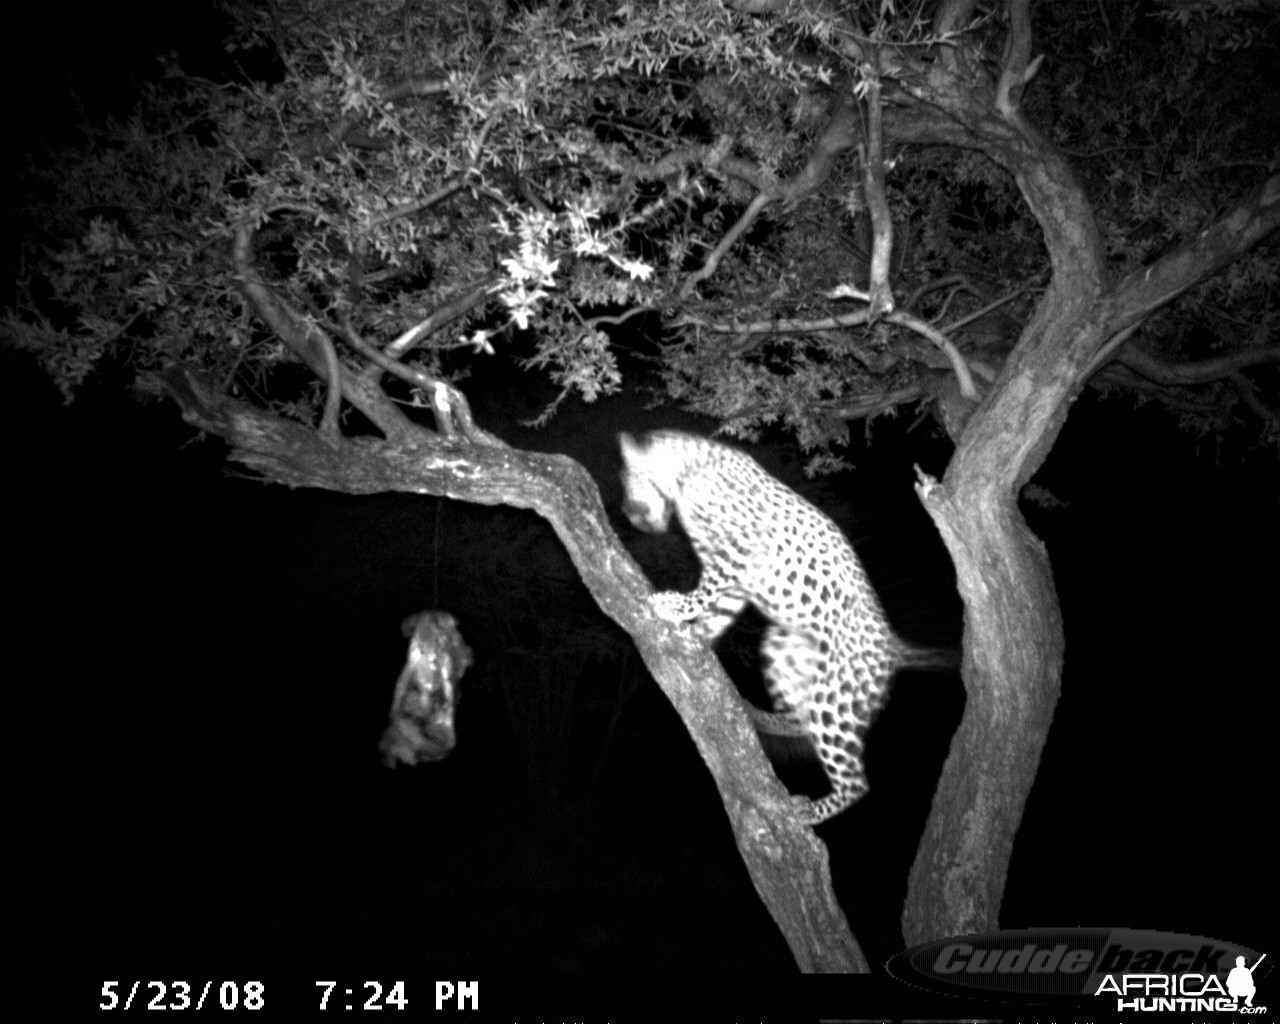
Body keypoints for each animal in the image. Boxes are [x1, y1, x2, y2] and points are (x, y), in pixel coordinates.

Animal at [619, 430, 952, 824]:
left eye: (627, 482)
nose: (627, 514)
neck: (688, 472)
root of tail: (892, 645)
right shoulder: (739, 576)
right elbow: (719, 611)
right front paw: (697, 636)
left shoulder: (738, 548)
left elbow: (707, 590)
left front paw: (675, 606)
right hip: (783, 647)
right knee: (800, 720)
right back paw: (761, 717)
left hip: (835, 697)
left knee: (854, 779)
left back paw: (809, 810)